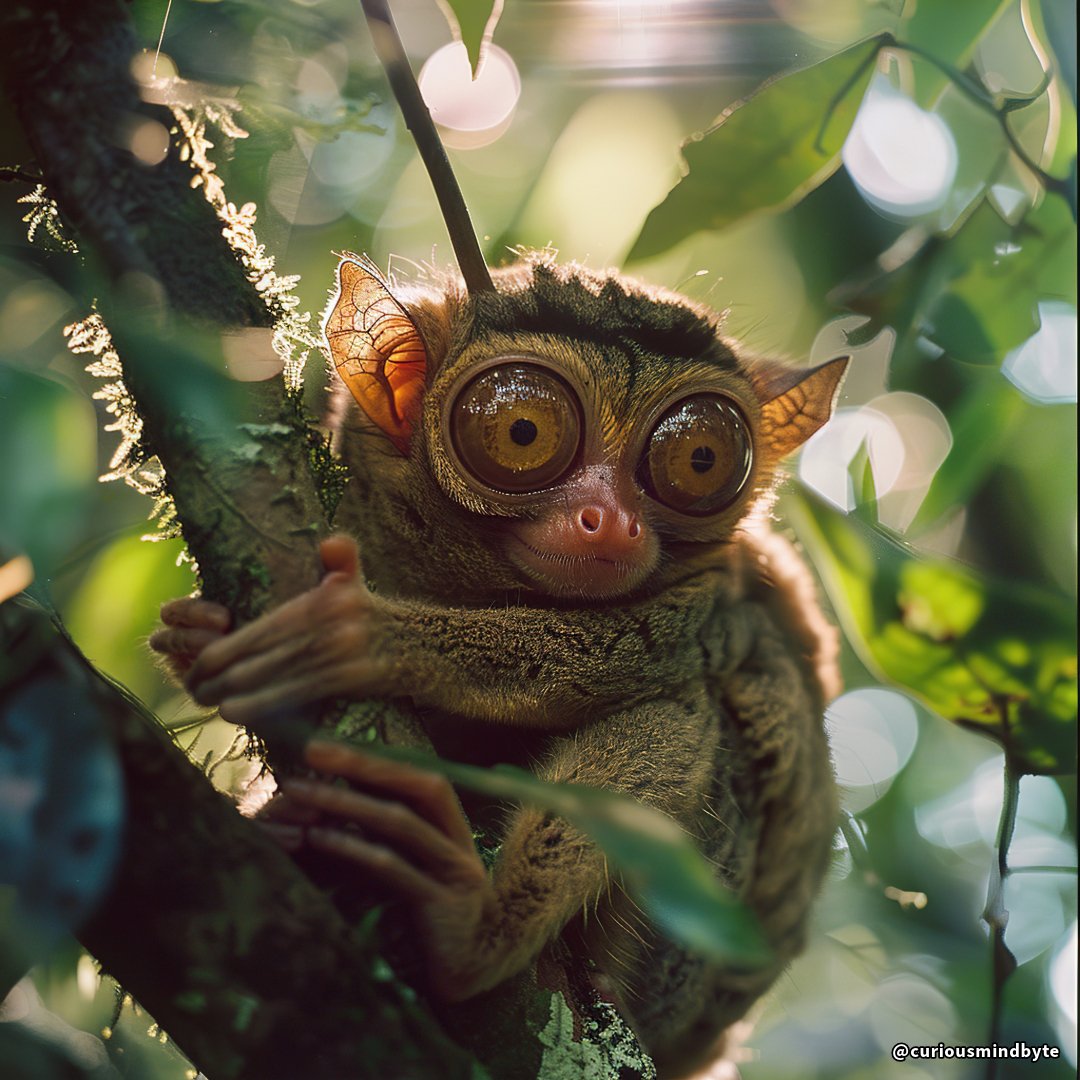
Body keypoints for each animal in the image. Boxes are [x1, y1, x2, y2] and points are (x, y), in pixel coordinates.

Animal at [151, 252, 846, 1077]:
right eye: (522, 430)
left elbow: (640, 649)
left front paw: (359, 636)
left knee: (682, 712)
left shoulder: (710, 601)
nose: (613, 522)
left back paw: (472, 933)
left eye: (699, 458)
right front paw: (196, 634)